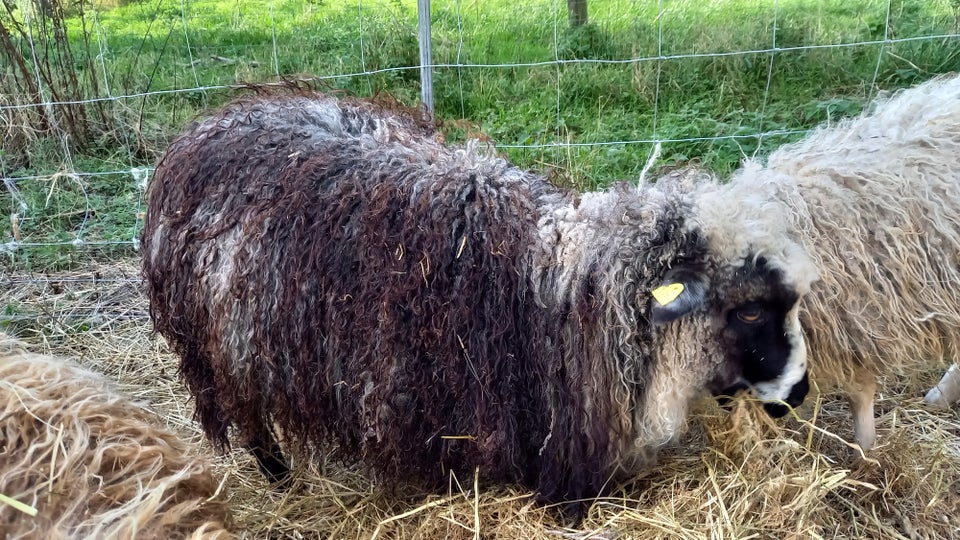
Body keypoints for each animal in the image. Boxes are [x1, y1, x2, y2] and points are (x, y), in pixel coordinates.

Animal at [141, 88, 816, 506]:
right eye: (749, 308)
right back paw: (280, 479)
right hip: (229, 345)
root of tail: (205, 127)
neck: (573, 292)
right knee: (252, 420)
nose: (802, 392)